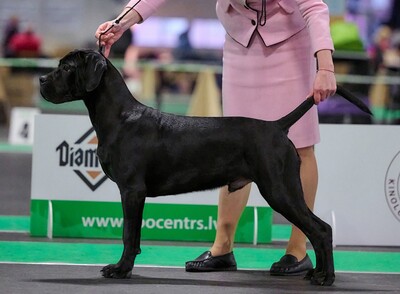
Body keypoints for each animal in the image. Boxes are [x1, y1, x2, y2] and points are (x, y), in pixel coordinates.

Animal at [40, 49, 372, 286]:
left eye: (67, 68)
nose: (42, 80)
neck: (119, 117)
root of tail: (277, 126)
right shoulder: (134, 193)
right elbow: (133, 236)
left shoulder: (132, 190)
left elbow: (128, 234)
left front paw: (121, 270)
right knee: (316, 230)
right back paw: (316, 274)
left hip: (280, 190)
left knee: (321, 229)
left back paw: (325, 278)